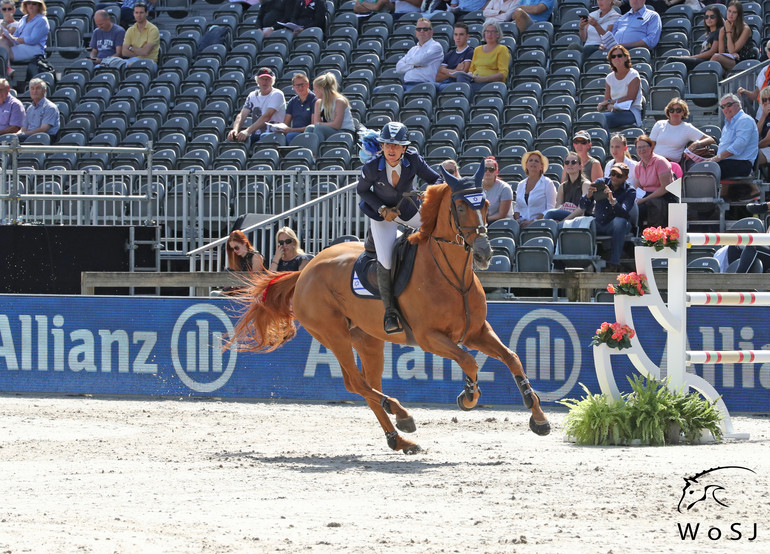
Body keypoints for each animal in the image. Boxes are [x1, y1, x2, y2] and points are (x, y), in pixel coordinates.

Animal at [228, 172, 544, 452]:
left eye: (486, 204)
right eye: (461, 206)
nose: (484, 253)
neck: (453, 276)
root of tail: (305, 270)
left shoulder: (476, 331)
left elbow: (512, 358)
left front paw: (538, 416)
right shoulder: (430, 338)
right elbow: (469, 361)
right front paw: (468, 395)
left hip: (368, 340)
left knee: (367, 384)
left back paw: (400, 439)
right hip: (334, 335)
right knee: (355, 382)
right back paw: (401, 413)